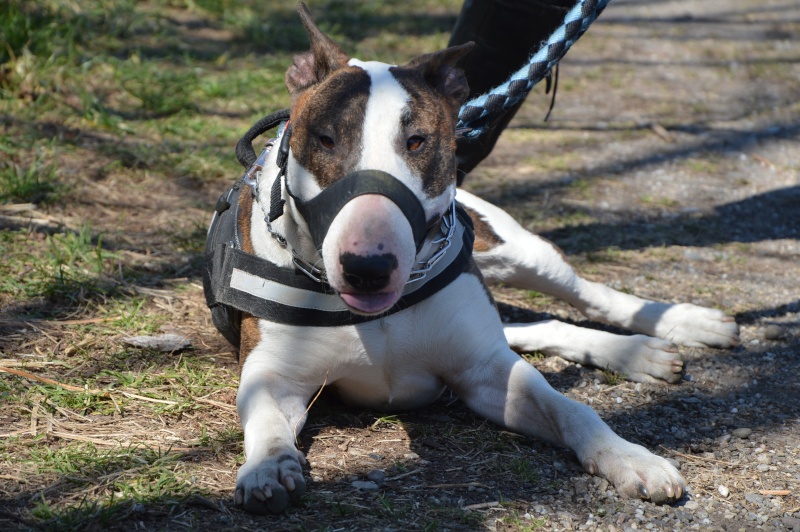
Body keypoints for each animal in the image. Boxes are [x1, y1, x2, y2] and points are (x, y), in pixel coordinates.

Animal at [205, 2, 736, 512]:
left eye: (417, 141)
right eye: (325, 139)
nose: (368, 269)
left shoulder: (488, 371)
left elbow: (570, 408)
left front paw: (629, 457)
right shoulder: (273, 376)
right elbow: (266, 421)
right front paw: (269, 467)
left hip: (515, 251)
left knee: (586, 295)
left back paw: (679, 326)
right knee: (533, 328)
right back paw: (641, 354)